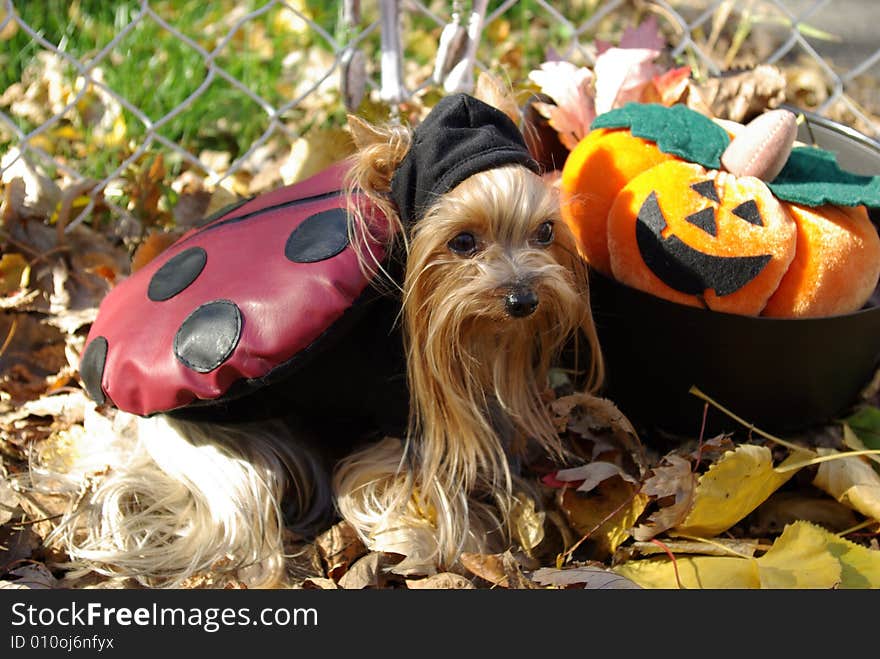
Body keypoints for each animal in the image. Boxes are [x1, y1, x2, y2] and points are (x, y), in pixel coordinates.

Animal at [41, 91, 604, 588]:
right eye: (462, 241)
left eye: (545, 232)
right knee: (243, 516)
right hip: (220, 449)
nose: (523, 299)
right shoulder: (400, 421)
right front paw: (465, 543)